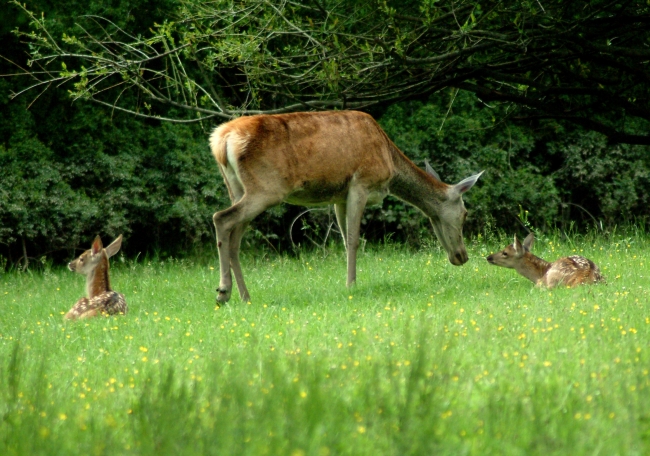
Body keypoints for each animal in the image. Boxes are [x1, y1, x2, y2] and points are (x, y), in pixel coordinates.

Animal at [208, 110, 480, 302]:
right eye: (465, 214)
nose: (462, 256)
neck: (389, 161)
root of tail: (221, 140)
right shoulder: (361, 183)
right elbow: (353, 239)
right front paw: (351, 285)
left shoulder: (339, 196)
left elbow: (343, 238)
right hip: (265, 188)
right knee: (221, 218)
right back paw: (222, 292)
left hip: (237, 187)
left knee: (234, 238)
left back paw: (244, 296)